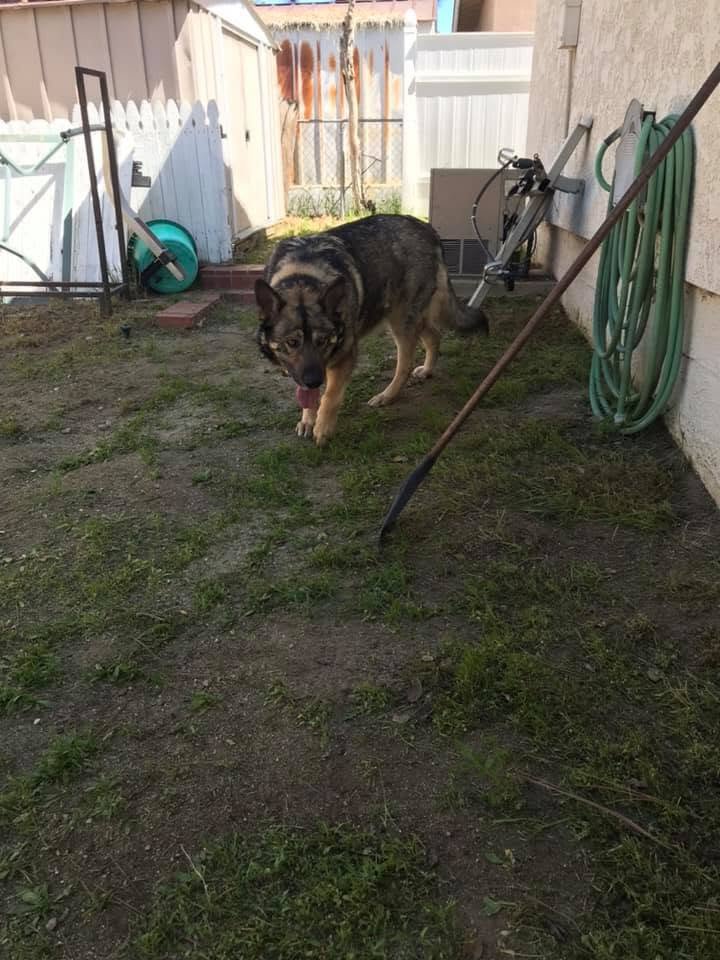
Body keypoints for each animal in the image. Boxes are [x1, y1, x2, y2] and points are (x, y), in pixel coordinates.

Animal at [254, 214, 489, 446]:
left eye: (323, 341)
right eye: (292, 343)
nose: (314, 380)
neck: (301, 277)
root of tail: (426, 228)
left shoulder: (344, 358)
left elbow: (330, 397)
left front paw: (323, 428)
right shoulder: (306, 369)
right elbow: (309, 395)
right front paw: (308, 419)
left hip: (401, 322)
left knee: (405, 365)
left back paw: (387, 396)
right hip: (405, 318)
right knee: (434, 335)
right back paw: (427, 370)